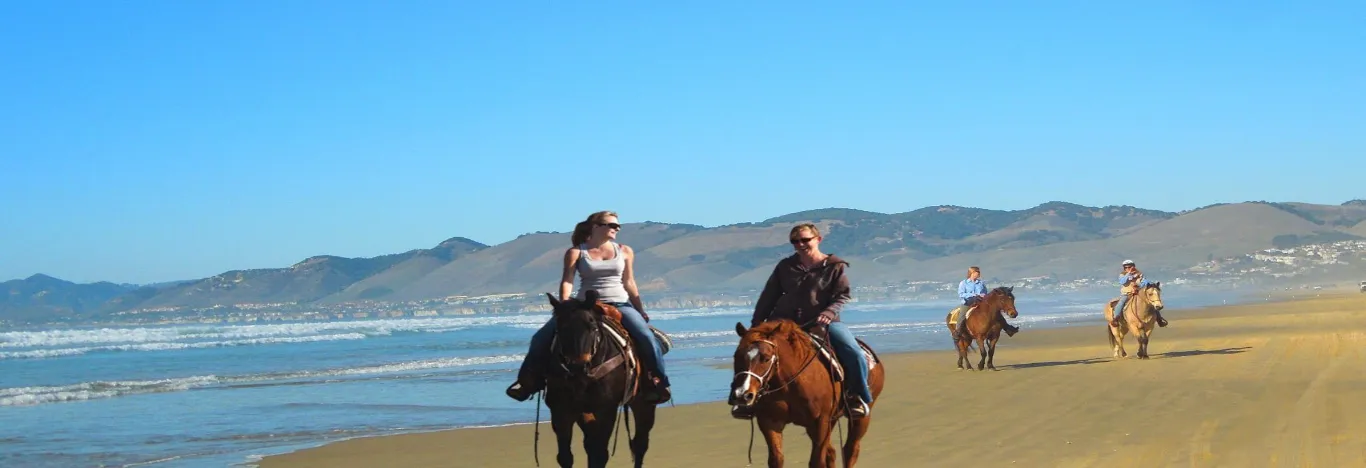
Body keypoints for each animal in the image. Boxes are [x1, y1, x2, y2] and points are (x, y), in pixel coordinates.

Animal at [538, 291, 655, 468]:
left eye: (592, 327)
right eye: (560, 328)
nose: (578, 366)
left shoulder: (606, 409)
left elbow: (600, 454)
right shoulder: (561, 409)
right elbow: (566, 456)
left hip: (644, 404)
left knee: (640, 443)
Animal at [726, 320, 885, 468]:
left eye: (766, 358)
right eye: (736, 356)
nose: (742, 394)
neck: (789, 383)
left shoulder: (820, 421)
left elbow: (817, 461)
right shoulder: (770, 421)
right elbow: (777, 459)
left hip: (861, 418)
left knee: (850, 450)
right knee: (832, 453)